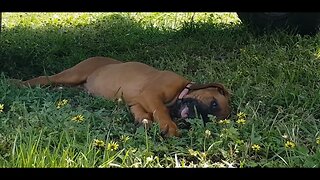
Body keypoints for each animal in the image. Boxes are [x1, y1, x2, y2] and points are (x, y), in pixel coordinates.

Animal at [23, 56, 232, 136]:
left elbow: (143, 112)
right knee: (45, 78)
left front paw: (145, 122)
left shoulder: (136, 103)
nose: (197, 118)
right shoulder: (152, 94)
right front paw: (169, 127)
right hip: (73, 73)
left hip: (75, 84)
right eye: (214, 103)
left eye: (209, 120)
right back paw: (19, 83)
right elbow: (161, 110)